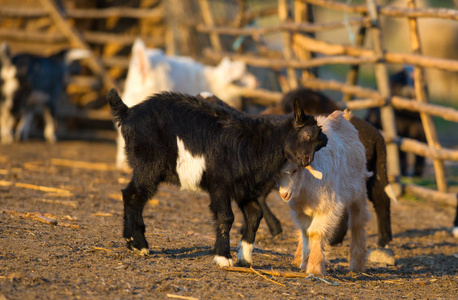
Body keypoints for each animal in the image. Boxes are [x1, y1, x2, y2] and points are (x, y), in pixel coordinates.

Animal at [276, 110, 372, 276]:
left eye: (295, 170)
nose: (284, 194)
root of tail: (342, 115)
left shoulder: (328, 208)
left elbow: (316, 233)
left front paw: (314, 268)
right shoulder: (300, 210)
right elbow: (305, 231)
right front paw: (304, 262)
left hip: (358, 190)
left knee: (357, 222)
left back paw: (357, 265)